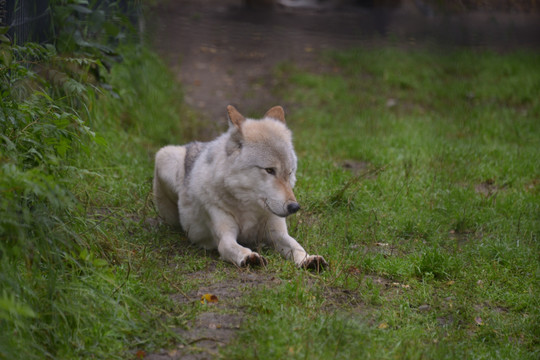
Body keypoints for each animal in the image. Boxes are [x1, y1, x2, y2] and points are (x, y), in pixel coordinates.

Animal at [154, 105, 326, 272]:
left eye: (289, 172)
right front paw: (249, 257)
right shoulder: (225, 236)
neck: (248, 208)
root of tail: (197, 144)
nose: (294, 207)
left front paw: (308, 259)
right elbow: (231, 246)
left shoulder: (278, 234)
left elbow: (297, 246)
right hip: (164, 156)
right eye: (269, 170)